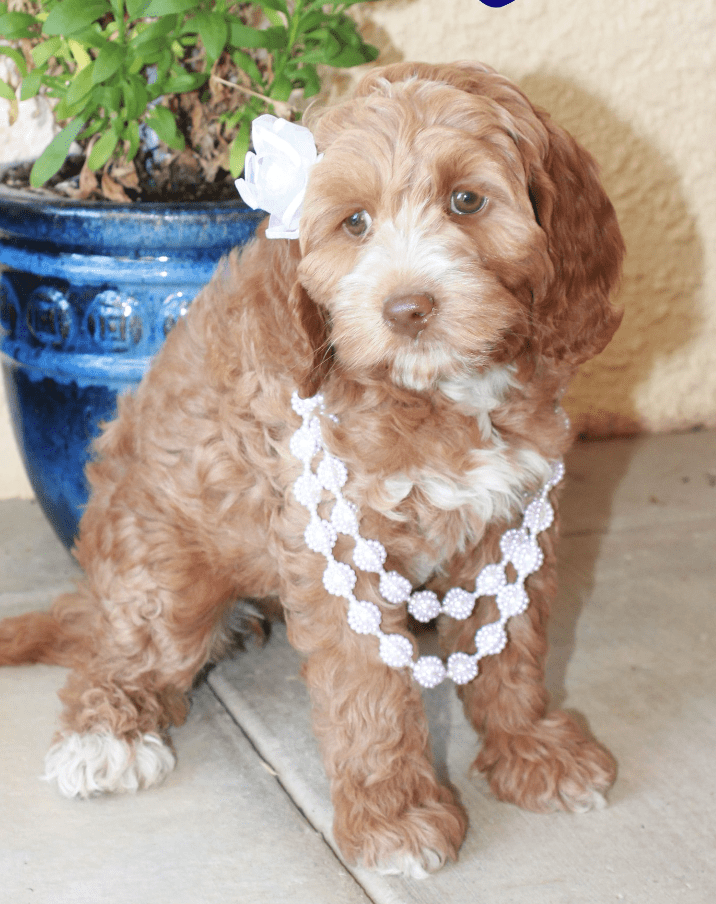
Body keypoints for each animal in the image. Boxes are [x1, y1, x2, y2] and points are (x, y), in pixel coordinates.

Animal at [0, 61, 620, 876]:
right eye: (354, 222)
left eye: (467, 200)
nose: (408, 308)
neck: (437, 394)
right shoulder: (337, 550)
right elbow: (368, 690)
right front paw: (395, 819)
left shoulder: (513, 524)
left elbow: (511, 651)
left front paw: (531, 751)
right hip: (162, 575)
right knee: (124, 654)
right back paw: (105, 739)